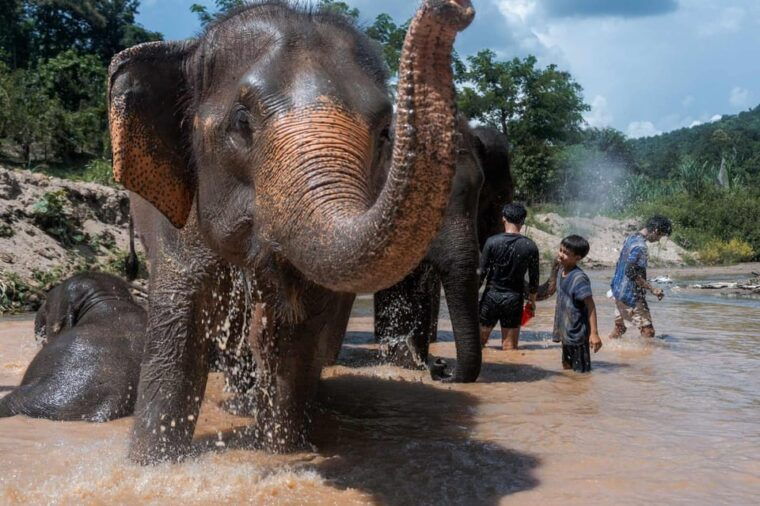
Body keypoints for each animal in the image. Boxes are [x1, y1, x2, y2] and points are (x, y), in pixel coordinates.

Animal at [108, 0, 476, 463]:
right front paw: (150, 463)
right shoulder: (180, 213)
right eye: (242, 122)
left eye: (384, 133)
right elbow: (179, 324)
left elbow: (296, 333)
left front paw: (283, 450)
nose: (455, 10)